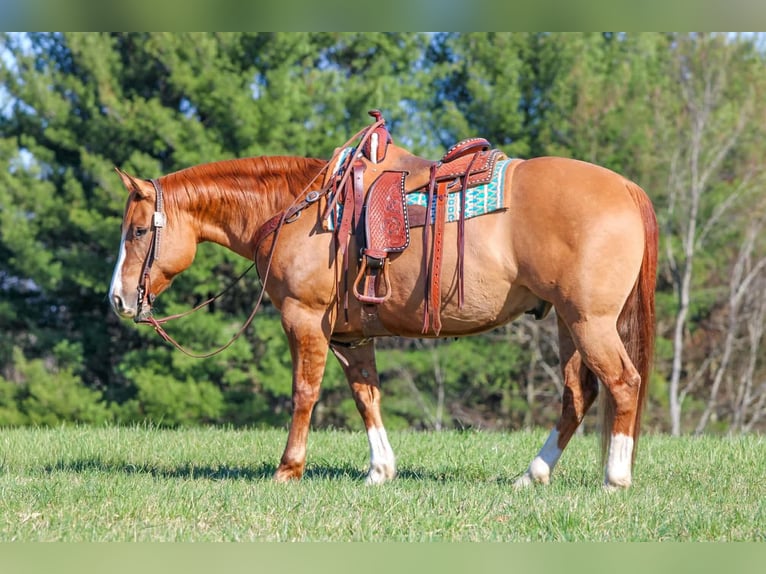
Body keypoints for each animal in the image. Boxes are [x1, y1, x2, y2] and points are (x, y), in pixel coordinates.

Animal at [108, 128, 657, 490]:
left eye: (136, 231)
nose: (118, 299)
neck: (297, 212)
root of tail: (627, 189)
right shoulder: (350, 335)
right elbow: (365, 395)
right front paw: (380, 470)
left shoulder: (303, 319)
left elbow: (304, 393)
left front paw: (288, 469)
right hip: (567, 322)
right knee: (578, 396)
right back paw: (533, 475)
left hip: (589, 322)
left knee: (623, 383)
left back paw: (615, 477)